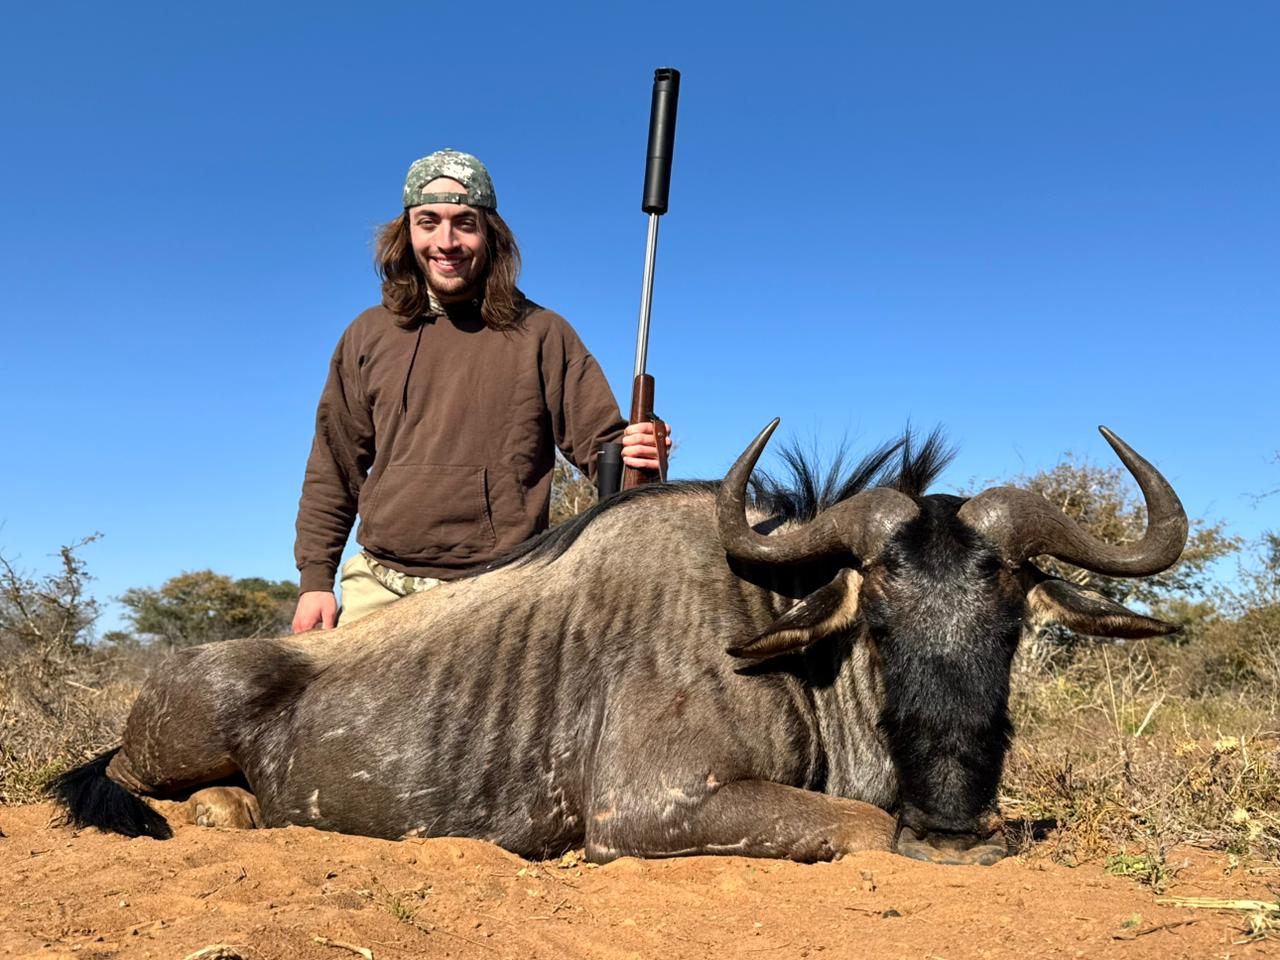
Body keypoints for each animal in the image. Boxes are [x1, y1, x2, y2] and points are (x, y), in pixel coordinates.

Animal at [52, 422, 1187, 866]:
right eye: (877, 617)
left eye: (1012, 621)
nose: (953, 819)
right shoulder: (651, 808)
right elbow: (866, 830)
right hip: (179, 736)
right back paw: (225, 809)